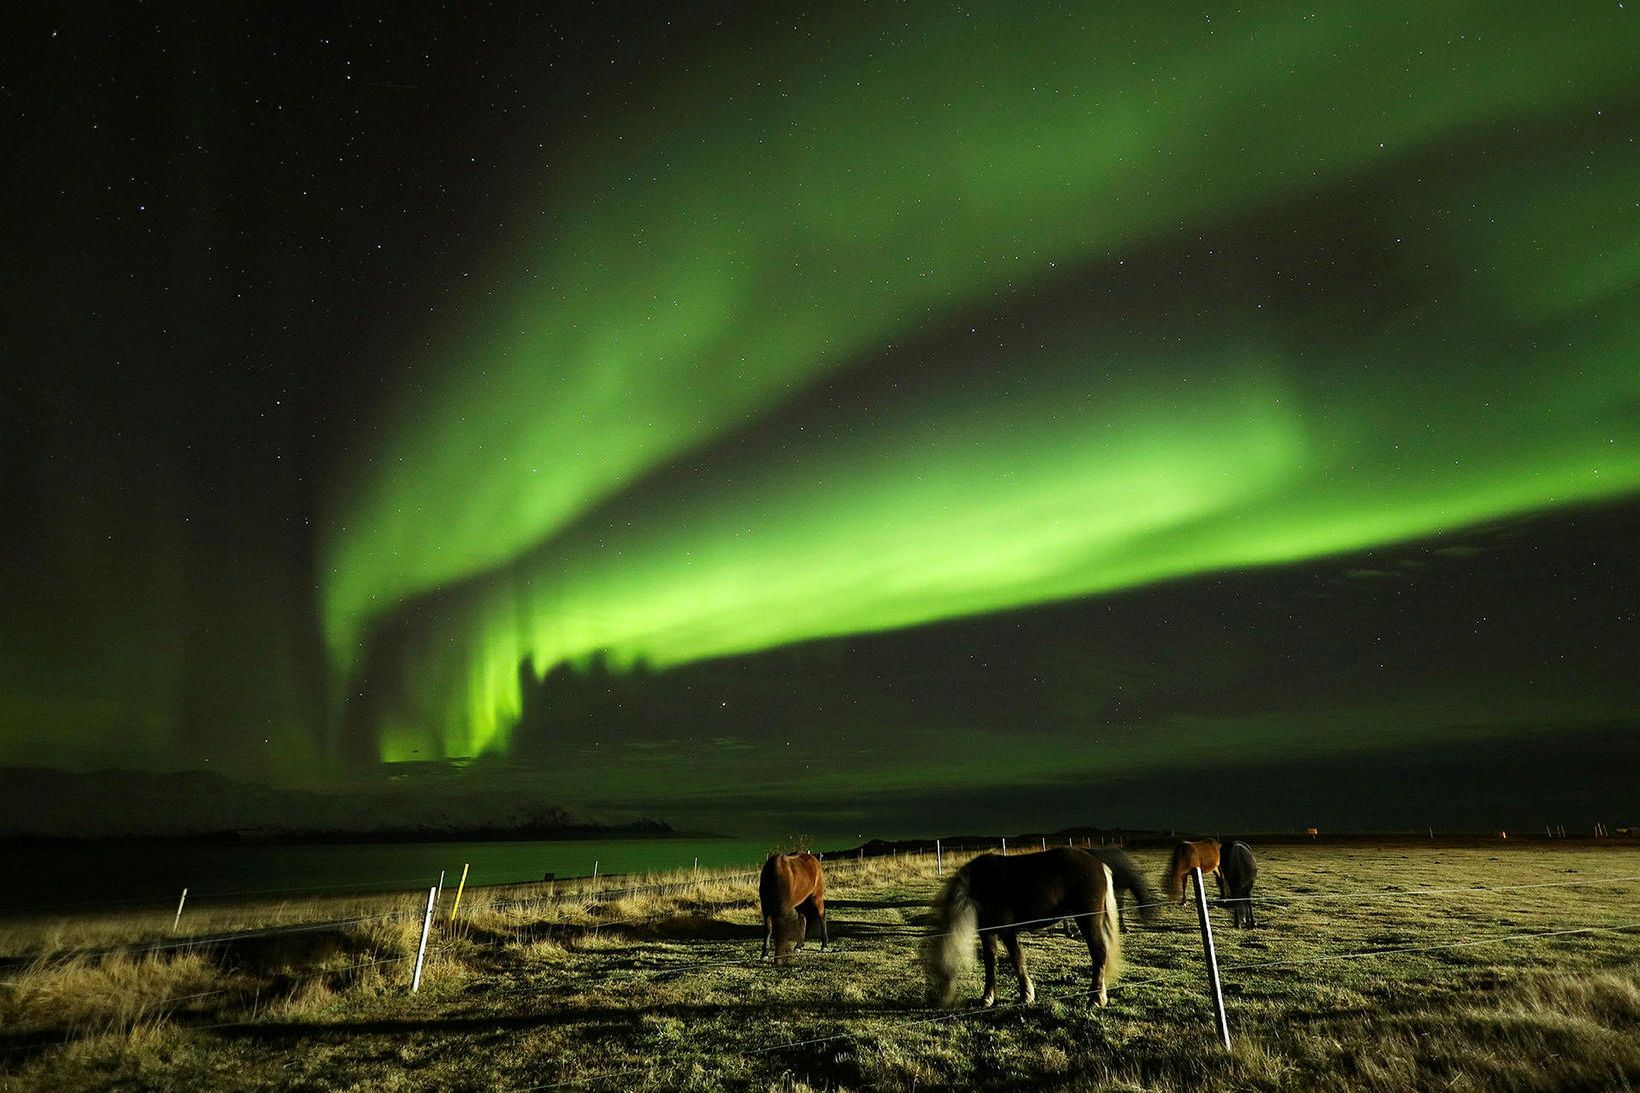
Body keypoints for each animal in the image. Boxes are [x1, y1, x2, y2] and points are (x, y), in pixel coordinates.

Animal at [924, 840, 1128, 1004]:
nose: (938, 998)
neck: (978, 886)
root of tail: (1099, 865)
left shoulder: (1006, 930)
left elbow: (1017, 958)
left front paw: (1026, 995)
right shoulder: (987, 931)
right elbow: (990, 961)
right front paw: (987, 997)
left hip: (1088, 919)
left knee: (1099, 953)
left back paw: (1096, 998)